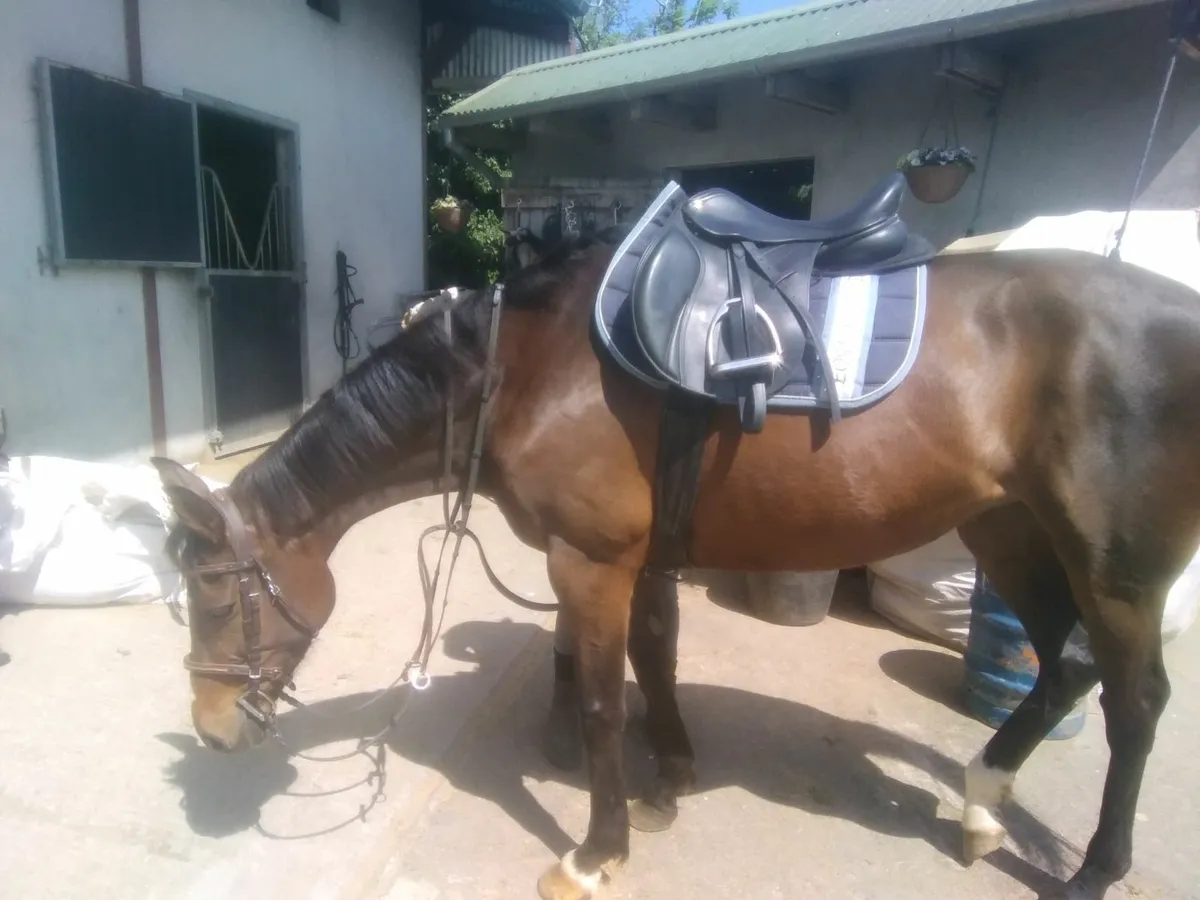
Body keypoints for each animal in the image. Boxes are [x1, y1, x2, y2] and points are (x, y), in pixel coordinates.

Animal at [155, 214, 1200, 899]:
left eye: (213, 591)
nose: (212, 725)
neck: (524, 370)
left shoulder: (590, 563)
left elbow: (603, 701)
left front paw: (596, 848)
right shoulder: (647, 557)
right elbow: (656, 660)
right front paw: (673, 776)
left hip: (1114, 568)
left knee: (1135, 702)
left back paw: (1095, 871)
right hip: (1012, 531)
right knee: (1062, 669)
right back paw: (983, 798)